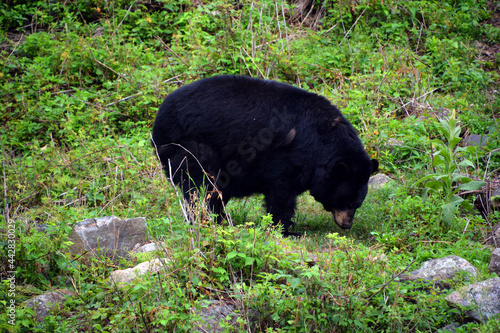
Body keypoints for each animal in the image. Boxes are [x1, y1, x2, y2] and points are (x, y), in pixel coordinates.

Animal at [150, 76, 376, 235]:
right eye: (347, 202)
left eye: (357, 204)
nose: (347, 224)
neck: (322, 141)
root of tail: (158, 122)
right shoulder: (285, 157)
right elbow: (281, 193)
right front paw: (286, 230)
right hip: (192, 147)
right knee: (200, 186)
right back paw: (207, 220)